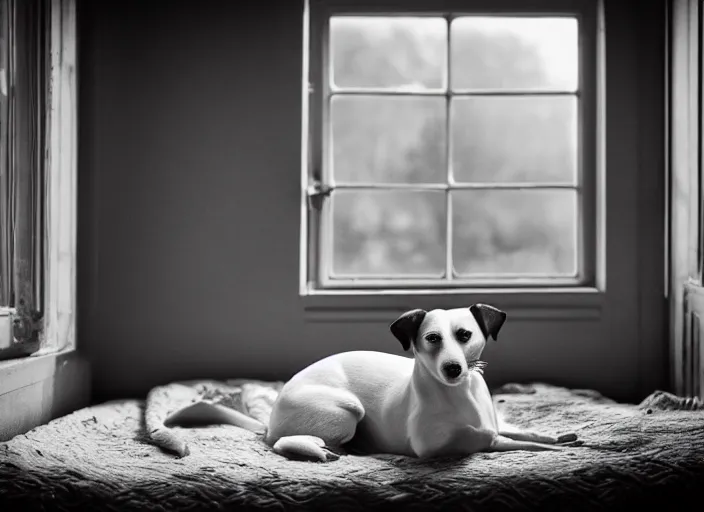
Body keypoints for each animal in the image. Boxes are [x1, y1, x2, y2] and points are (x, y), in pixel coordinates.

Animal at [184, 304, 576, 460]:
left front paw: (553, 437)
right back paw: (319, 449)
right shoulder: (435, 448)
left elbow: (517, 431)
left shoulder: (491, 422)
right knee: (283, 442)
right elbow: (499, 442)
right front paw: (544, 448)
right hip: (346, 411)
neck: (458, 394)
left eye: (465, 335)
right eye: (432, 338)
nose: (453, 369)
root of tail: (271, 416)